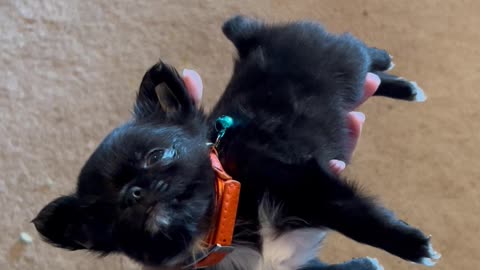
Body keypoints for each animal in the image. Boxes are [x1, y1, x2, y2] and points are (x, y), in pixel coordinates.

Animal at [32, 16, 438, 270]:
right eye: (105, 215)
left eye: (158, 155)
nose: (134, 192)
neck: (220, 223)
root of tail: (256, 38)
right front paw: (366, 263)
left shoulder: (300, 182)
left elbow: (353, 214)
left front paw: (412, 245)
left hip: (346, 64)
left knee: (365, 56)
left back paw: (400, 79)